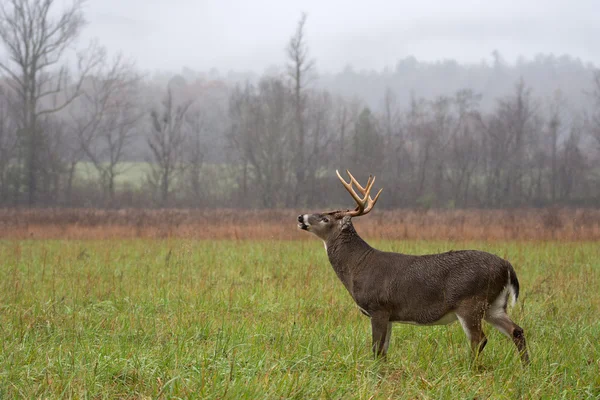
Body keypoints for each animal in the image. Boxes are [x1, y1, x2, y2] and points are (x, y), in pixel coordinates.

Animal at [296, 170, 528, 364]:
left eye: (325, 218)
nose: (300, 216)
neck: (358, 265)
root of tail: (507, 266)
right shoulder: (389, 314)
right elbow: (383, 351)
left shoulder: (378, 307)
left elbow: (376, 350)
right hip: (494, 304)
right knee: (517, 331)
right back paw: (525, 368)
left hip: (471, 301)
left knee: (479, 340)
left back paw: (472, 369)